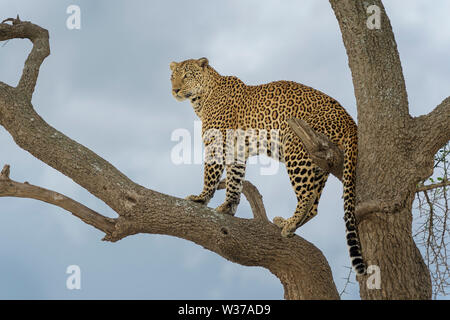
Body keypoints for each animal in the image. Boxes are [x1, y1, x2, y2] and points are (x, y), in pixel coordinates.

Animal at [169, 57, 366, 276]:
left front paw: (201, 198)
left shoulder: (217, 144)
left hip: (295, 146)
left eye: (187, 75)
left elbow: (210, 175)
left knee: (306, 195)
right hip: (320, 163)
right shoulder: (237, 151)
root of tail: (349, 119)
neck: (202, 98)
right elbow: (234, 180)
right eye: (173, 76)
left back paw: (289, 224)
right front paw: (228, 206)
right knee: (314, 204)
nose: (175, 90)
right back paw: (288, 222)